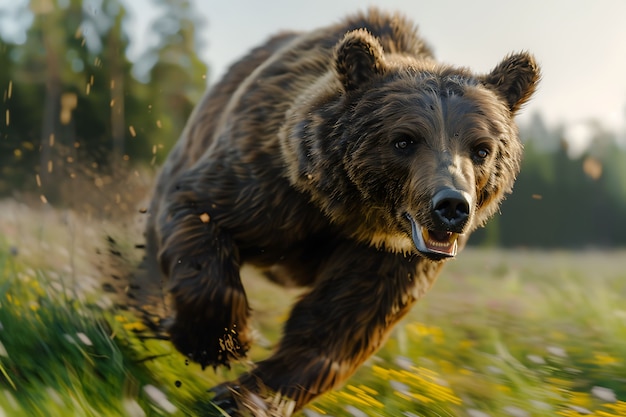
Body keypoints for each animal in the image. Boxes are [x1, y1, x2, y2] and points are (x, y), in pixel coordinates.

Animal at [141, 6, 536, 416]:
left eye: (482, 149)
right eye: (404, 140)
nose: (452, 206)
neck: (348, 212)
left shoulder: (385, 256)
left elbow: (342, 320)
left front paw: (244, 398)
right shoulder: (266, 187)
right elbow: (202, 212)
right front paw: (219, 343)